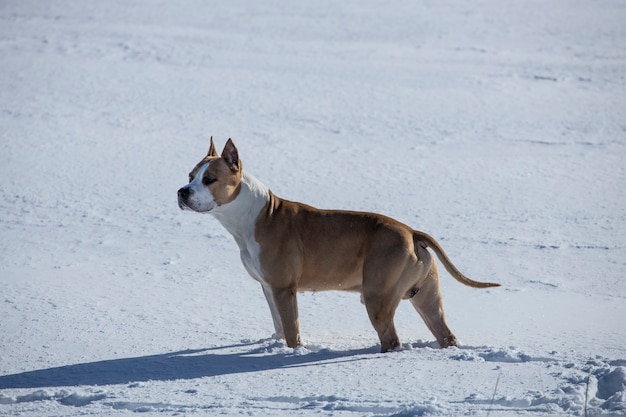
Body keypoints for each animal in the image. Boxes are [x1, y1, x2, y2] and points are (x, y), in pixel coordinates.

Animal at [178, 139, 500, 352]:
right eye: (190, 176)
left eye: (209, 179)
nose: (182, 192)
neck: (252, 215)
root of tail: (411, 232)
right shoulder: (268, 287)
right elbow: (280, 325)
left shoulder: (284, 289)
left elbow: (292, 330)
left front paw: (292, 353)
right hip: (426, 296)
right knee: (445, 333)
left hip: (378, 298)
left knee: (391, 338)